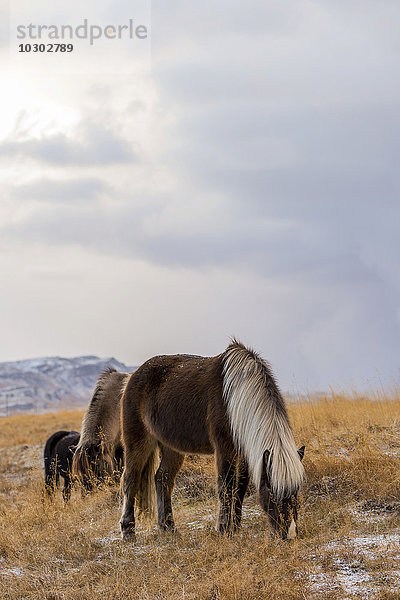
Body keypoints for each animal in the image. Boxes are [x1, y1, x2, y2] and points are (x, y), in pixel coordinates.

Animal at [120, 340, 304, 540]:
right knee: (131, 479)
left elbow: (240, 486)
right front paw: (224, 528)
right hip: (138, 440)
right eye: (273, 494)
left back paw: (168, 527)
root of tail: (133, 375)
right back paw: (128, 531)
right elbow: (226, 485)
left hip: (171, 447)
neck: (235, 399)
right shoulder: (224, 448)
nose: (290, 533)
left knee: (162, 479)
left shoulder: (245, 451)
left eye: (296, 493)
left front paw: (235, 526)